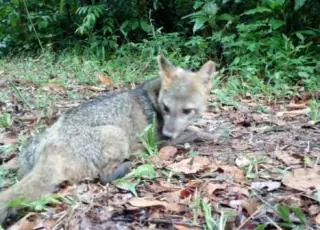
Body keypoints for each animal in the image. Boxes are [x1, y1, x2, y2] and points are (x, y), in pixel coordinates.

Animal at [0, 54, 218, 224]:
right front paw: (211, 134)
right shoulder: (156, 142)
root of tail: (51, 148)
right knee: (104, 177)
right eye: (166, 108)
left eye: (187, 111)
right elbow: (194, 132)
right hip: (118, 135)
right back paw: (126, 167)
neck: (152, 96)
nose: (168, 132)